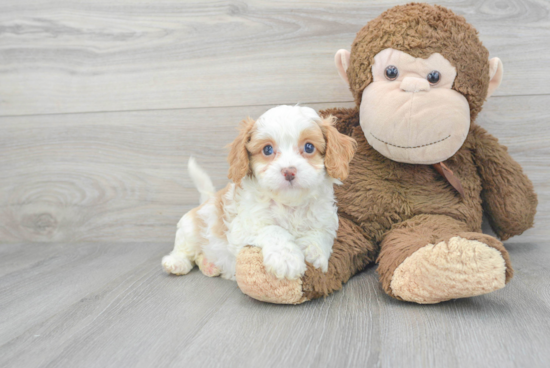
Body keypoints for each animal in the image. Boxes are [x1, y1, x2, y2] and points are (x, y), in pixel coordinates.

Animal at [163, 105, 358, 280]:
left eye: (309, 147)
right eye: (267, 149)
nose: (289, 171)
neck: (290, 205)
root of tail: (208, 198)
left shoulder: (325, 221)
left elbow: (321, 234)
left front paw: (314, 252)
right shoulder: (243, 226)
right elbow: (273, 230)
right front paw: (286, 259)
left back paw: (210, 265)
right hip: (190, 228)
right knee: (185, 250)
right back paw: (176, 263)